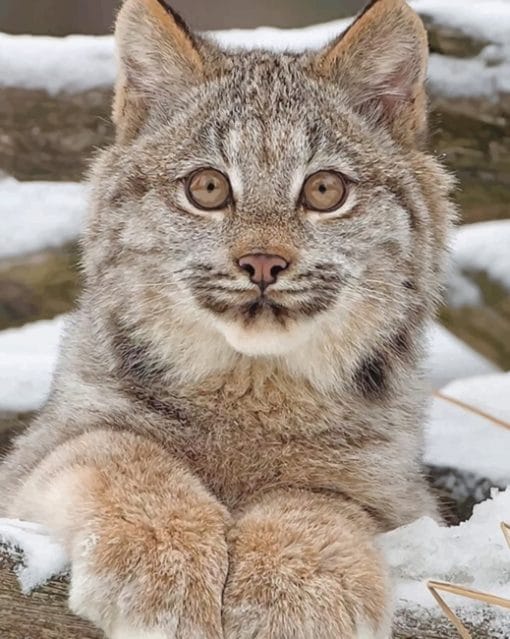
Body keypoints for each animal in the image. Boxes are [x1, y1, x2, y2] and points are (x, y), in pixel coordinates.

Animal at [0, 0, 454, 636]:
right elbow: (112, 447)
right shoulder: (36, 459)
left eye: (325, 189)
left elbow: (322, 498)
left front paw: (296, 600)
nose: (262, 262)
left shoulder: (404, 500)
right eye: (208, 187)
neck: (251, 384)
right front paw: (163, 571)